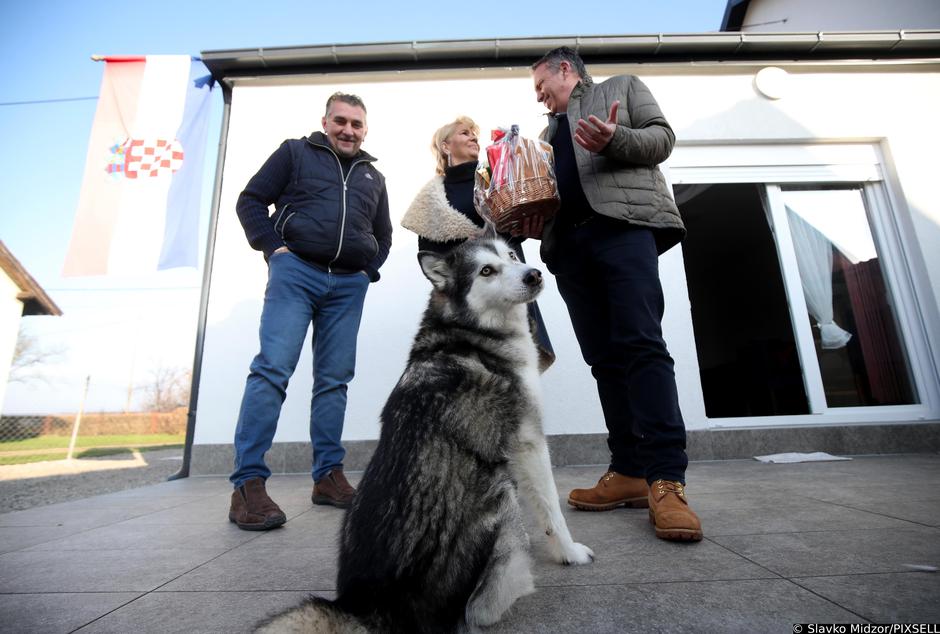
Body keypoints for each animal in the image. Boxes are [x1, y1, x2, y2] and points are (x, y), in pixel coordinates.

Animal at [258, 235, 592, 628]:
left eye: (511, 256)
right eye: (486, 271)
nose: (534, 274)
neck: (471, 332)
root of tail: (363, 604)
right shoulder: (529, 442)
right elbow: (552, 511)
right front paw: (570, 553)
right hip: (500, 492)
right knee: (478, 609)